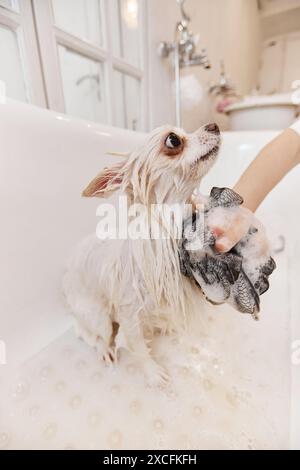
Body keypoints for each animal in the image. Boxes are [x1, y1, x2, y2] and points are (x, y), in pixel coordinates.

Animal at [63, 122, 221, 386]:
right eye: (173, 140)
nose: (214, 125)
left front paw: (166, 326)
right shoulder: (129, 312)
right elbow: (138, 346)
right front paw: (153, 372)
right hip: (97, 315)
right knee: (88, 333)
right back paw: (104, 349)